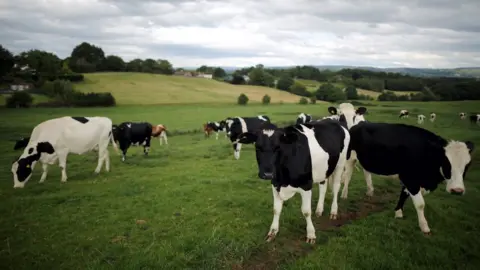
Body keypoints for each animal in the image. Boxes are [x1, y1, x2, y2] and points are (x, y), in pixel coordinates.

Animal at [344, 121, 474, 234]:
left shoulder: (410, 180)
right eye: (447, 163)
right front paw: (424, 227)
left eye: (467, 165)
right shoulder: (410, 179)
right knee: (347, 176)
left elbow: (404, 194)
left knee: (366, 172)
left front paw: (398, 213)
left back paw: (370, 191)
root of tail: (360, 124)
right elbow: (420, 204)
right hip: (350, 158)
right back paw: (344, 195)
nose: (457, 190)